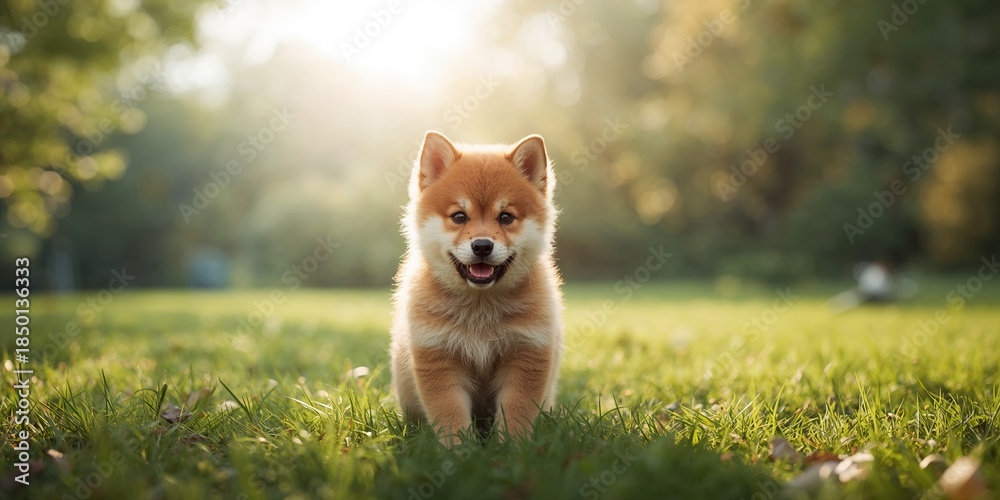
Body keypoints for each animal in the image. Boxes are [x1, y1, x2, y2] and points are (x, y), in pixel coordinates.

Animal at [390, 131, 563, 446]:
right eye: (459, 216)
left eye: (505, 217)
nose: (482, 245)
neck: (480, 310)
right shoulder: (438, 357)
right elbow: (450, 415)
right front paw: (460, 451)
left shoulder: (526, 353)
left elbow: (516, 413)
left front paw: (512, 450)